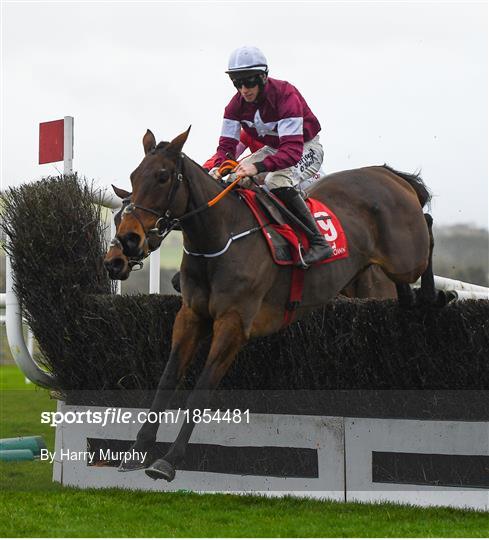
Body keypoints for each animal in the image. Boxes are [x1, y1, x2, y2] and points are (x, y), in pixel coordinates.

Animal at [104, 127, 438, 480]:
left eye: (163, 177)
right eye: (134, 176)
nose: (126, 244)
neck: (219, 237)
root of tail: (388, 174)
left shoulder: (234, 324)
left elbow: (202, 388)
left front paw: (169, 460)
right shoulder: (191, 315)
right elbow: (167, 379)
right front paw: (137, 449)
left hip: (406, 258)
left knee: (428, 227)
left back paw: (434, 295)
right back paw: (412, 299)